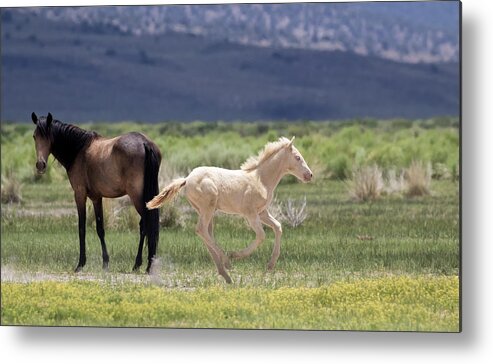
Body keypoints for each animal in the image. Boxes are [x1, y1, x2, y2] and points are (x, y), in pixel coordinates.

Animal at [31, 111, 161, 272]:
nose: (40, 165)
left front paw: (80, 264)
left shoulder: (79, 194)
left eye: (48, 136)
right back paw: (144, 264)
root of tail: (145, 143)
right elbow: (100, 229)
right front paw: (105, 263)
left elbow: (81, 227)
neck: (79, 150)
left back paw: (143, 265)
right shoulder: (96, 198)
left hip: (137, 197)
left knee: (146, 224)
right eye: (35, 136)